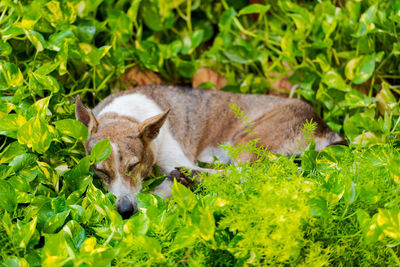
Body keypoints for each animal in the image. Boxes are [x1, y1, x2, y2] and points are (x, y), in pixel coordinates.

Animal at [76, 85, 344, 218]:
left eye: (133, 166)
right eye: (101, 172)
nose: (124, 212)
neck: (125, 115)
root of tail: (324, 126)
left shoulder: (173, 160)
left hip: (247, 139)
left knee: (247, 176)